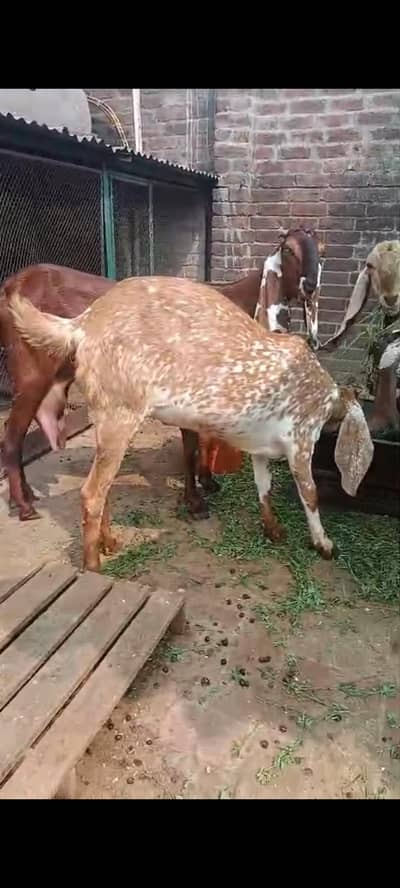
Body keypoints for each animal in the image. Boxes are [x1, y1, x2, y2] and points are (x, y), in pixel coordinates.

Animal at [9, 276, 374, 572]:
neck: (326, 394)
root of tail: (83, 325)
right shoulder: (300, 440)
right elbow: (310, 494)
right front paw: (324, 544)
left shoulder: (260, 448)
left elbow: (263, 487)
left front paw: (273, 529)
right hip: (120, 414)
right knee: (91, 492)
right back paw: (94, 565)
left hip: (103, 417)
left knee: (103, 487)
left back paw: (109, 543)